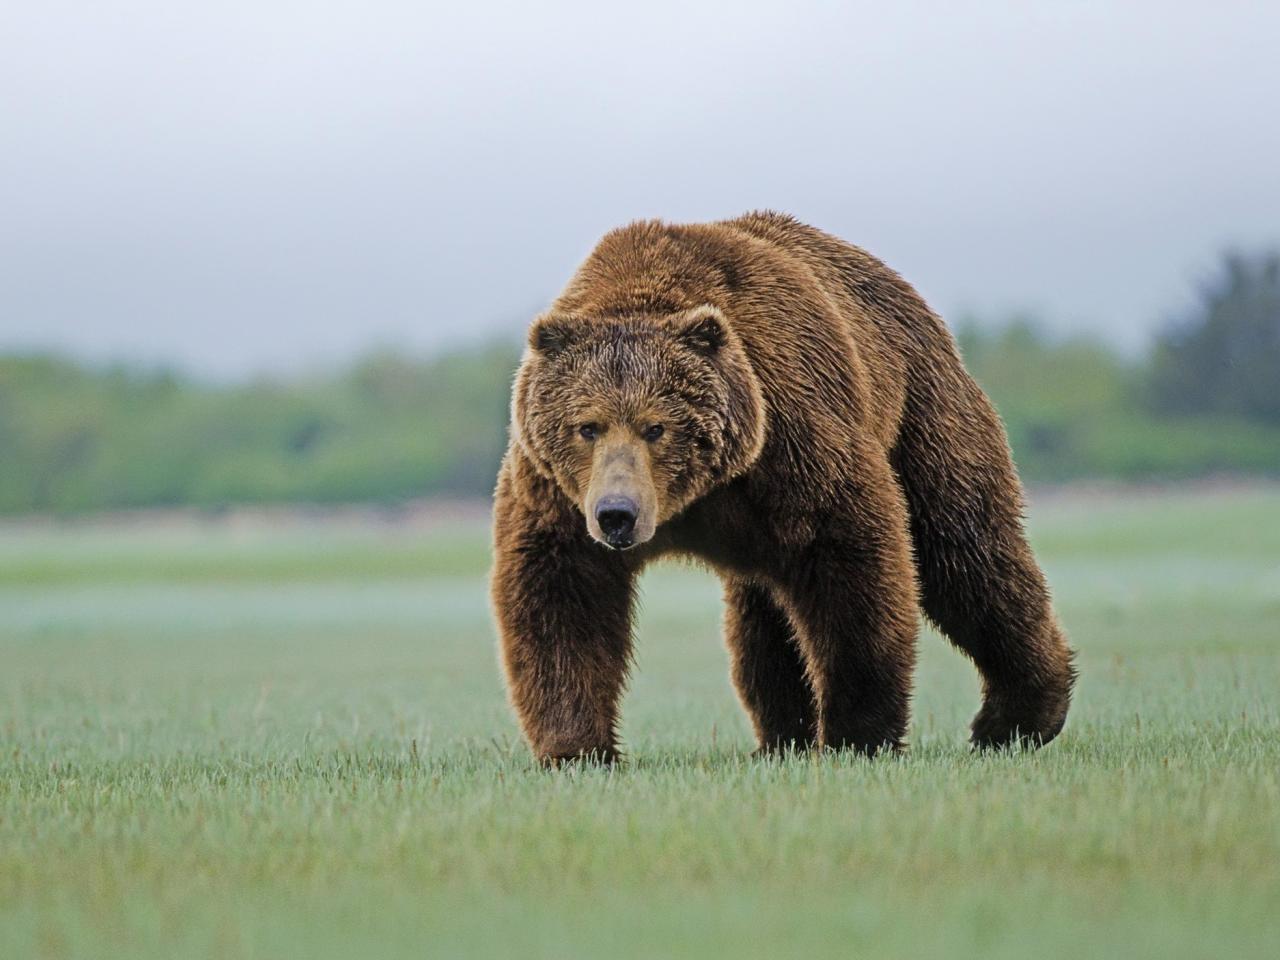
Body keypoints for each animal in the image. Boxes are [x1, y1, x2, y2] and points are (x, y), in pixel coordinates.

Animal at [488, 212, 1070, 768]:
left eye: (656, 426)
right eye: (587, 426)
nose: (617, 514)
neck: (698, 496)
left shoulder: (794, 440)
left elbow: (854, 569)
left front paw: (856, 734)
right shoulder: (557, 494)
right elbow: (562, 597)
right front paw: (576, 749)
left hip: (922, 412)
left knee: (967, 551)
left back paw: (1016, 718)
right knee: (763, 619)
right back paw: (781, 738)